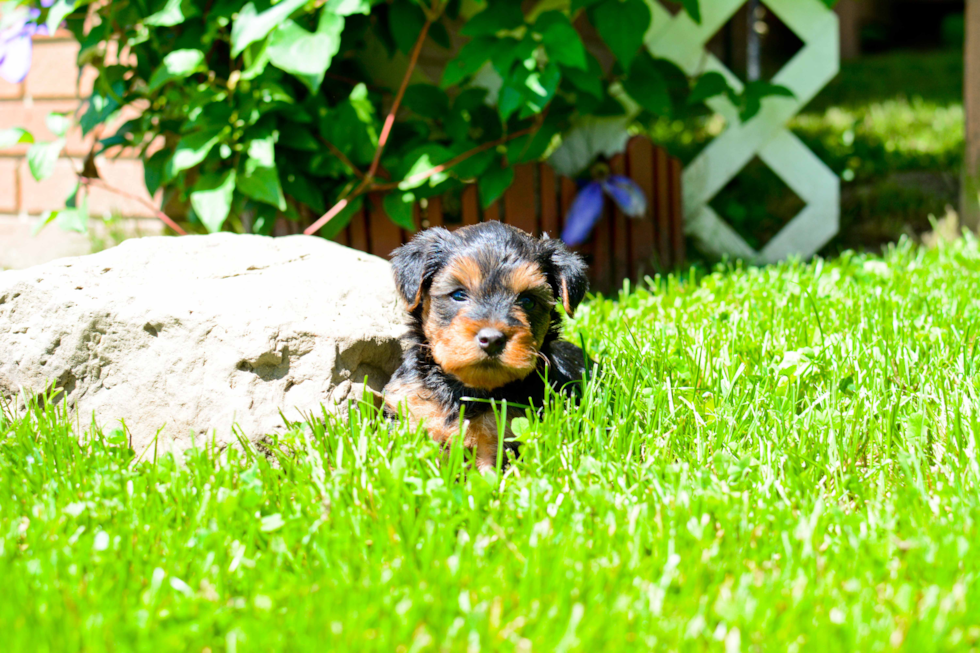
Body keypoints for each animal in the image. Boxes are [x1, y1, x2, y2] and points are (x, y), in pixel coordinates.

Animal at [382, 222, 588, 472]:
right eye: (459, 294)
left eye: (528, 301)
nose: (492, 339)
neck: (465, 389)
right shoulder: (409, 408)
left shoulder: (503, 435)